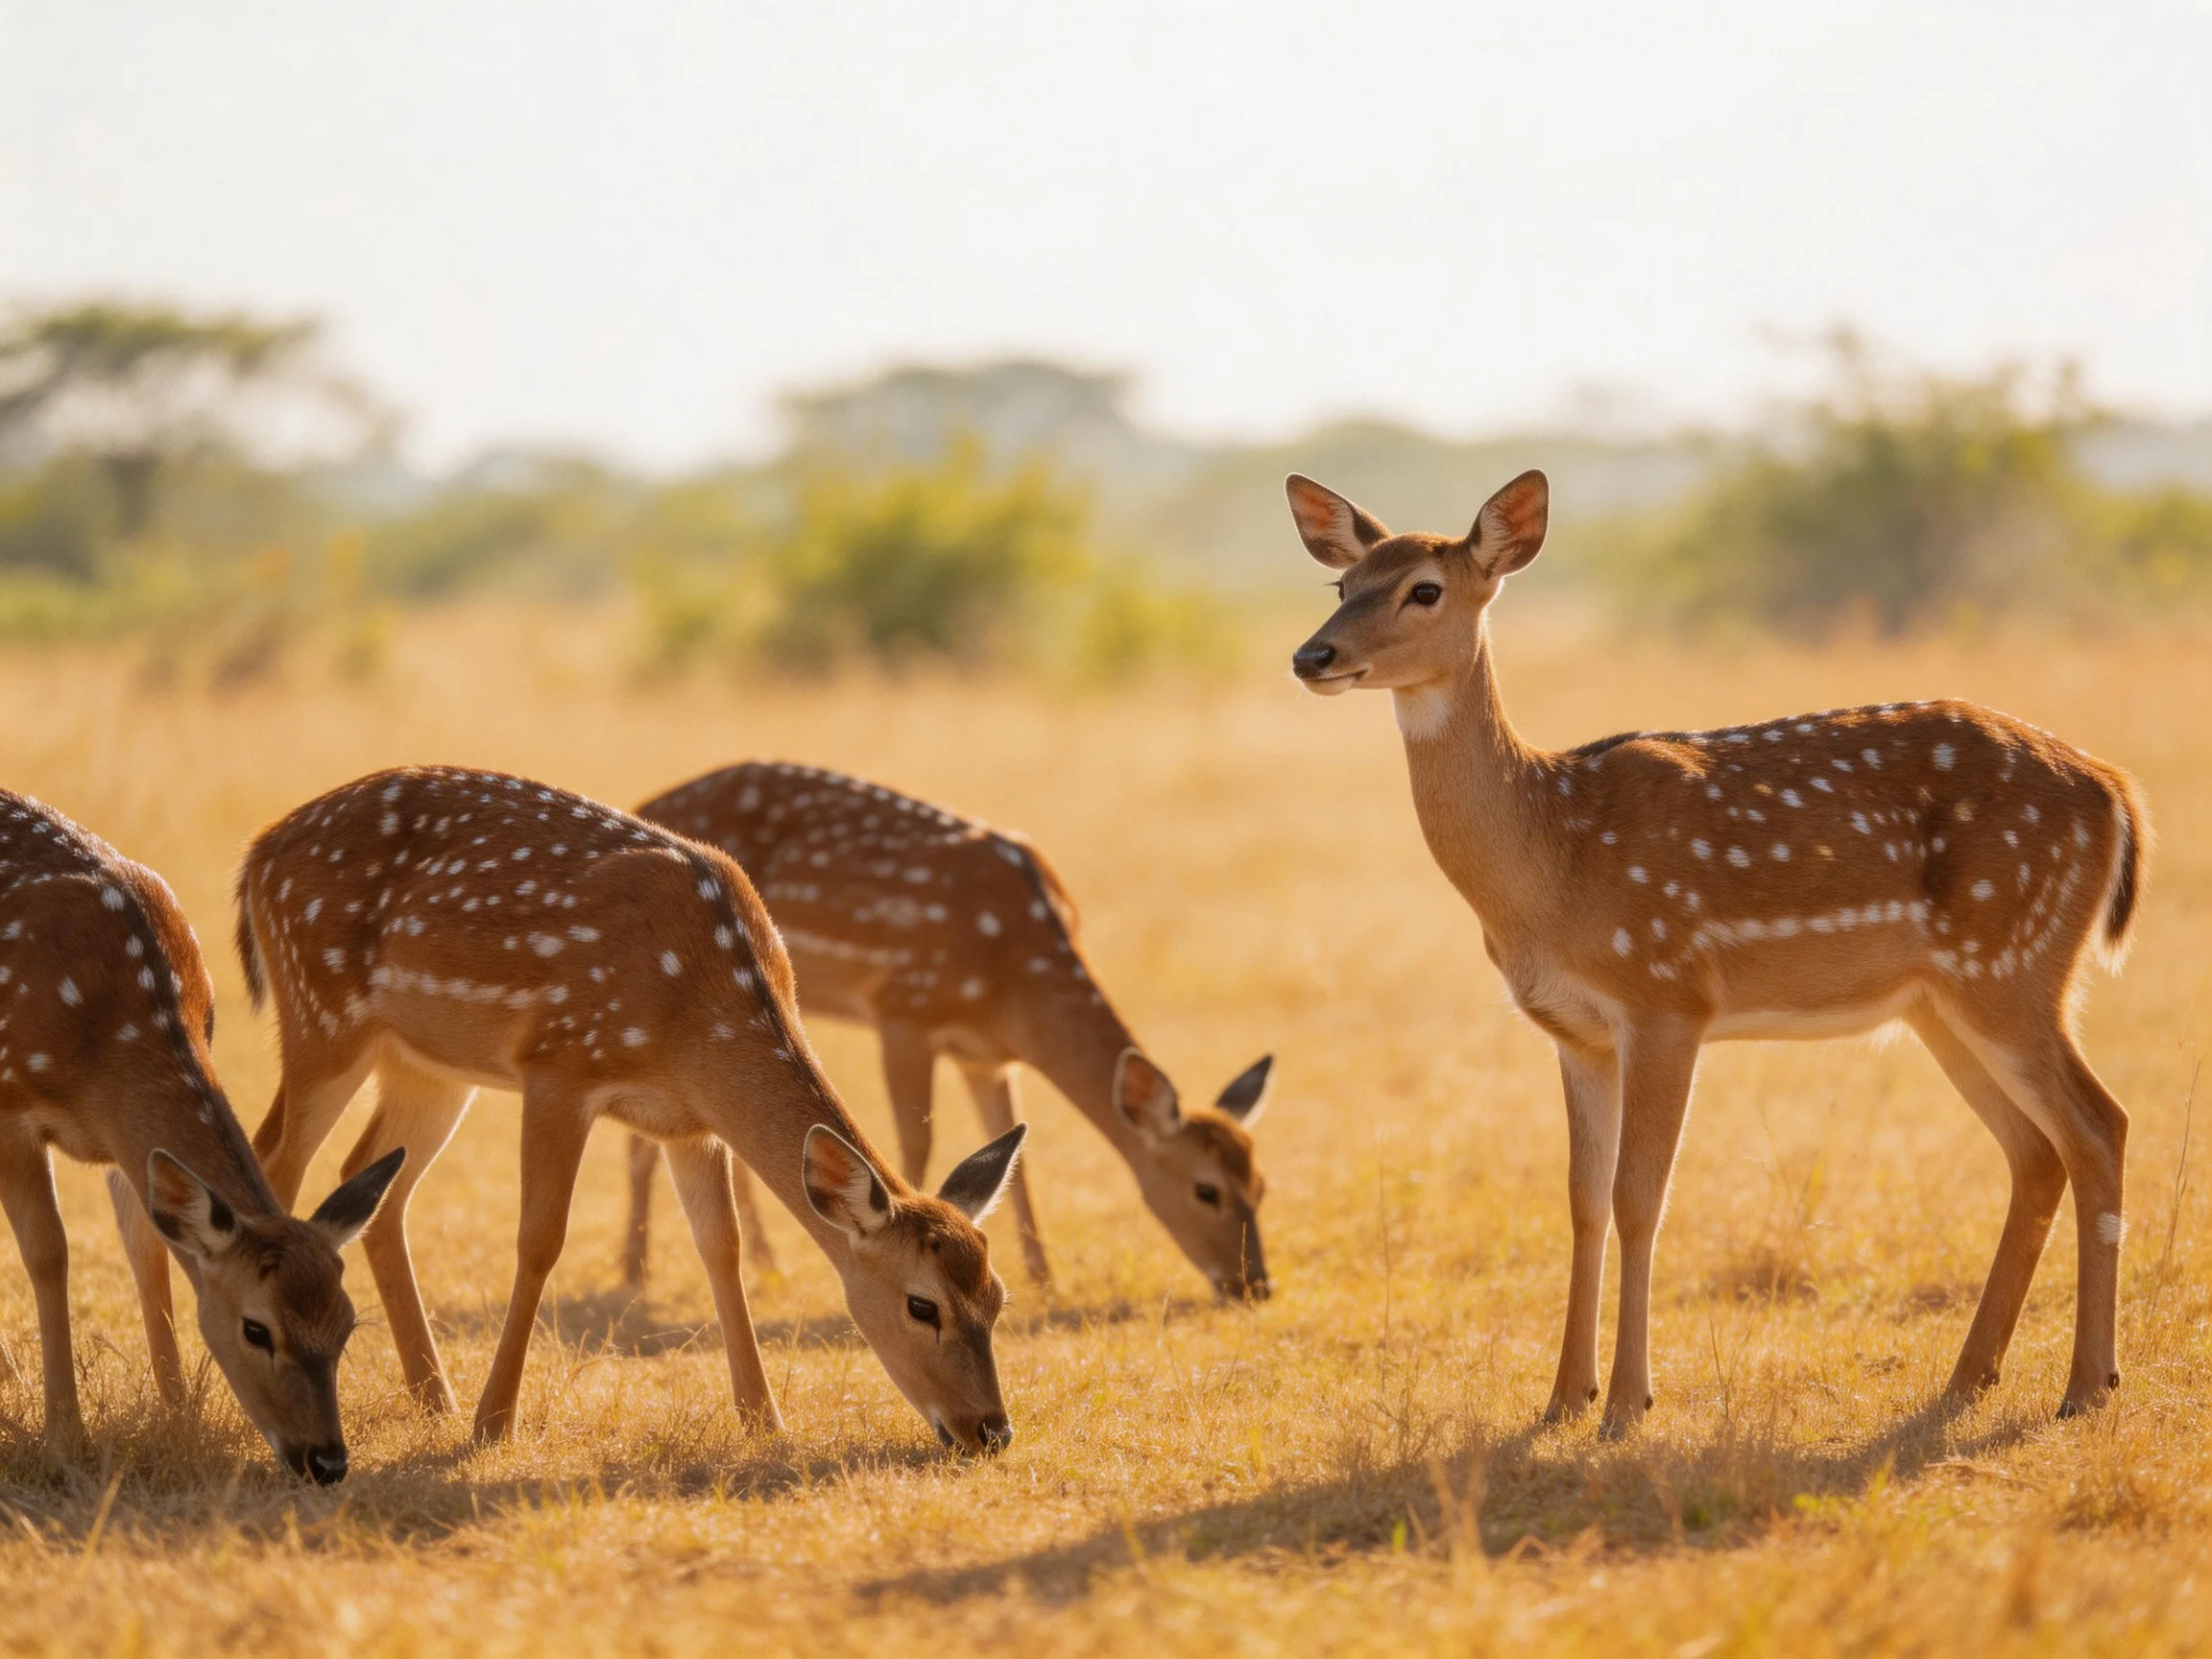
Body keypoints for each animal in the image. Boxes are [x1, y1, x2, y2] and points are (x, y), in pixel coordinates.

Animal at [0, 791, 402, 1480]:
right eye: (256, 1329)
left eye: (347, 1323)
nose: (326, 1460)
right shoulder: (11, 1106)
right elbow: (49, 1253)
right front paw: (65, 1440)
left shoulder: (125, 1145)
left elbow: (146, 1245)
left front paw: (178, 1411)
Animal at [232, 766, 1027, 1452]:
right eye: (922, 1304)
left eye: (998, 1297)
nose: (991, 1430)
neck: (695, 1015)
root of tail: (256, 853)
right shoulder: (558, 1064)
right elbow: (540, 1239)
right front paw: (495, 1424)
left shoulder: (689, 1122)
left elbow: (720, 1246)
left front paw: (764, 1419)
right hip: (322, 1014)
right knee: (275, 1160)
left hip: (427, 1065)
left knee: (371, 1178)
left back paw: (433, 1397)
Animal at [617, 762, 1273, 1299]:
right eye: (1206, 1189)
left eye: (1262, 1185)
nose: (1255, 1285)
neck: (1016, 979)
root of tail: (642, 801)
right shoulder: (905, 1007)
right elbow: (916, 1142)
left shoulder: (985, 1054)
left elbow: (1014, 1154)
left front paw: (1044, 1279)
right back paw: (635, 1273)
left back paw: (760, 1263)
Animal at [1286, 469, 2148, 1432]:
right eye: (1342, 584)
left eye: (1424, 590)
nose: (1312, 656)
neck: (1552, 857)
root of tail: (2116, 793)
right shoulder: (1575, 1032)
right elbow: (1582, 1200)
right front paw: (1563, 1397)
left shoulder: (1666, 995)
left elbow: (1639, 1197)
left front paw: (1628, 1402)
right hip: (1945, 1002)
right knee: (2035, 1153)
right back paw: (1970, 1377)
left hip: (2014, 963)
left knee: (2099, 1124)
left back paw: (2087, 1384)